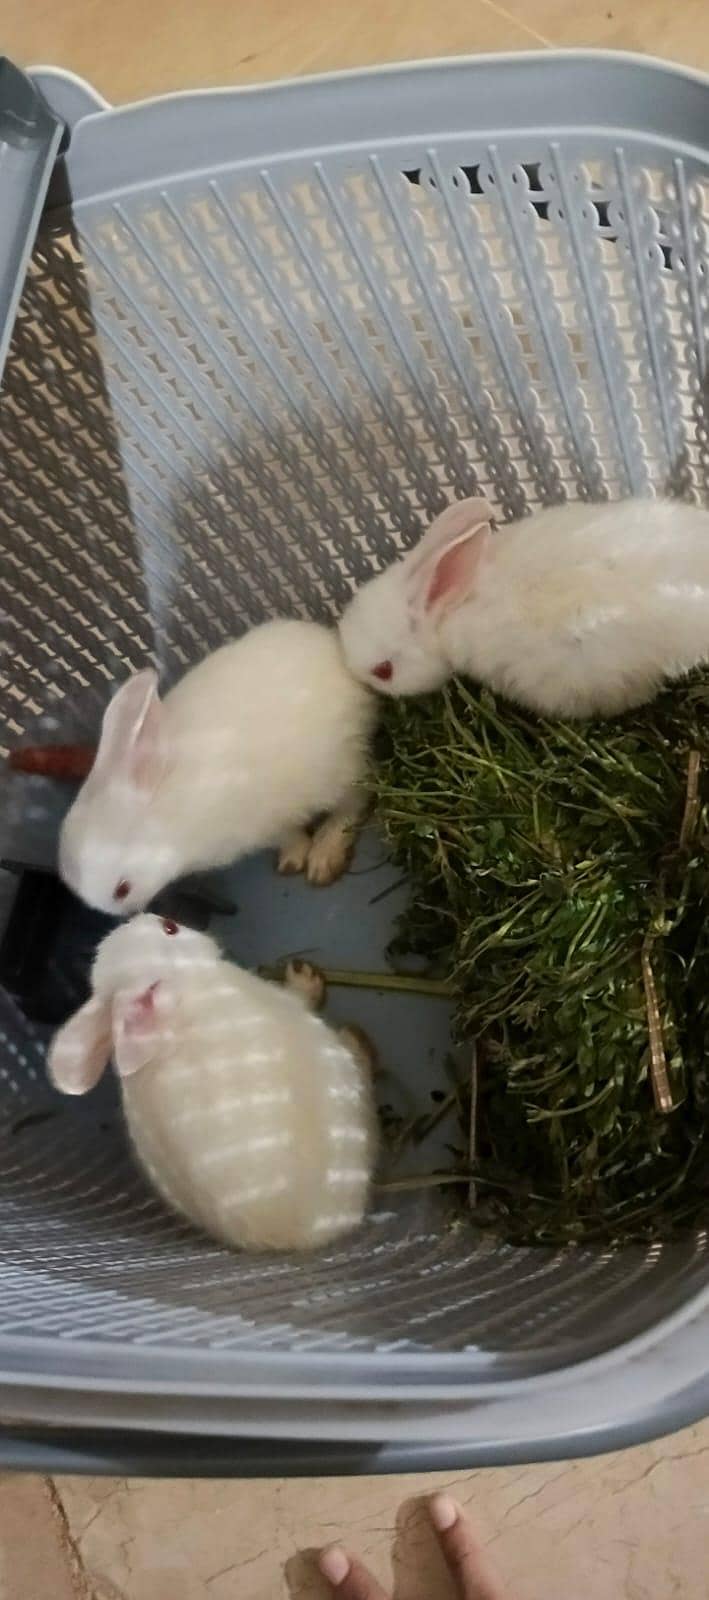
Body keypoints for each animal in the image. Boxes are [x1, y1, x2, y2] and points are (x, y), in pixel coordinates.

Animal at [47, 913, 378, 1251]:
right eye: (171, 928)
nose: (150, 915)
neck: (186, 994)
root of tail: (295, 1237)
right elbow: (299, 995)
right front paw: (304, 976)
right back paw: (357, 1041)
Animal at [59, 620, 377, 917]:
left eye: (122, 890)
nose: (132, 913)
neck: (170, 820)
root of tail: (336, 649)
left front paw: (298, 857)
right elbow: (288, 835)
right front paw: (291, 859)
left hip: (342, 770)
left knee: (352, 806)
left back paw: (324, 858)